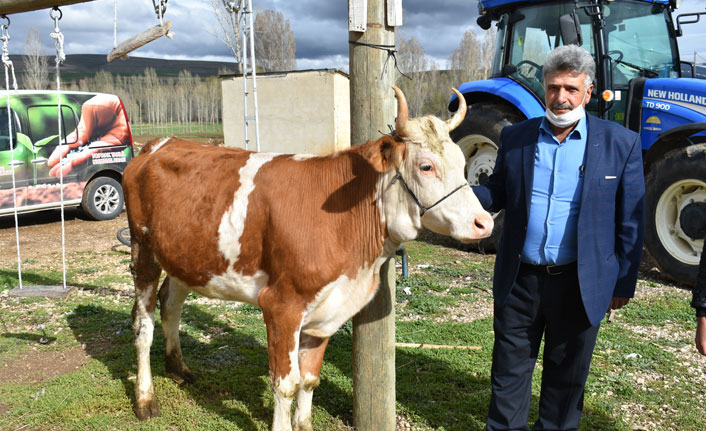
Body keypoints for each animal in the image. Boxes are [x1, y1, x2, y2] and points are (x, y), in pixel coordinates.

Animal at [124, 86, 492, 430]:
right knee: (143, 325)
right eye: (426, 166)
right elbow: (285, 383)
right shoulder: (281, 304)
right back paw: (145, 399)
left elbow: (310, 378)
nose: (484, 223)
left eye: (463, 164)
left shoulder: (328, 308)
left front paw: (304, 422)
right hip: (143, 250)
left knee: (171, 304)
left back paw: (178, 369)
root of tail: (159, 143)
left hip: (186, 258)